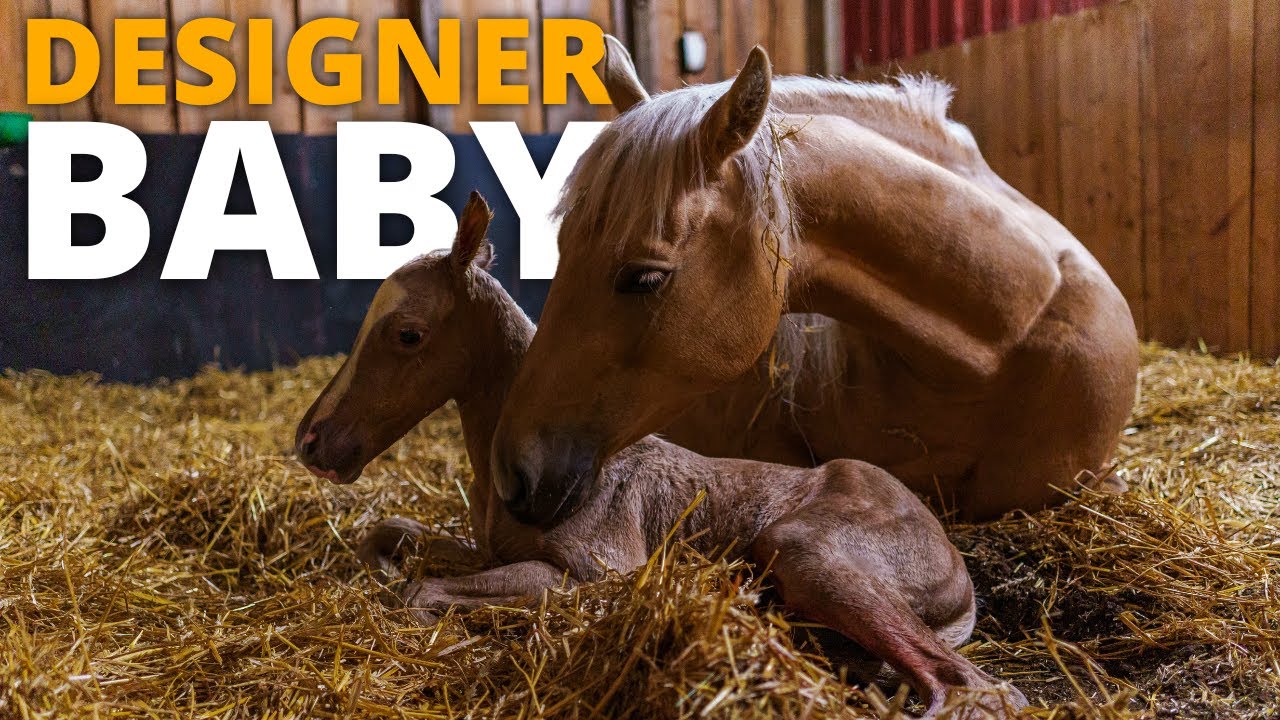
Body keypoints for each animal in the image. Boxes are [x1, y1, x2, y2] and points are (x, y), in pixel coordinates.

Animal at [294, 193, 1026, 717]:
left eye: (407, 334)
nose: (312, 440)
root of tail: (954, 563)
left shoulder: (597, 576)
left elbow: (420, 592)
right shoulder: (490, 550)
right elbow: (389, 537)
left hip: (805, 551)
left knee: (979, 688)